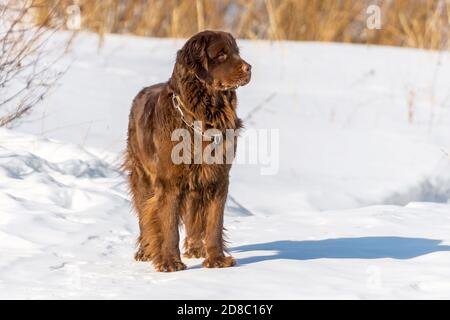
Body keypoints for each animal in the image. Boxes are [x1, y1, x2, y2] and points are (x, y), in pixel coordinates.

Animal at [122, 30, 250, 272]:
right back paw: (145, 251)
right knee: (145, 213)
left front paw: (217, 260)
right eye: (221, 54)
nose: (249, 68)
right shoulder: (169, 182)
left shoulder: (218, 177)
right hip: (143, 176)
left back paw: (195, 248)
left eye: (237, 52)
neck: (202, 118)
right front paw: (170, 263)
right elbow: (168, 225)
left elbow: (214, 222)